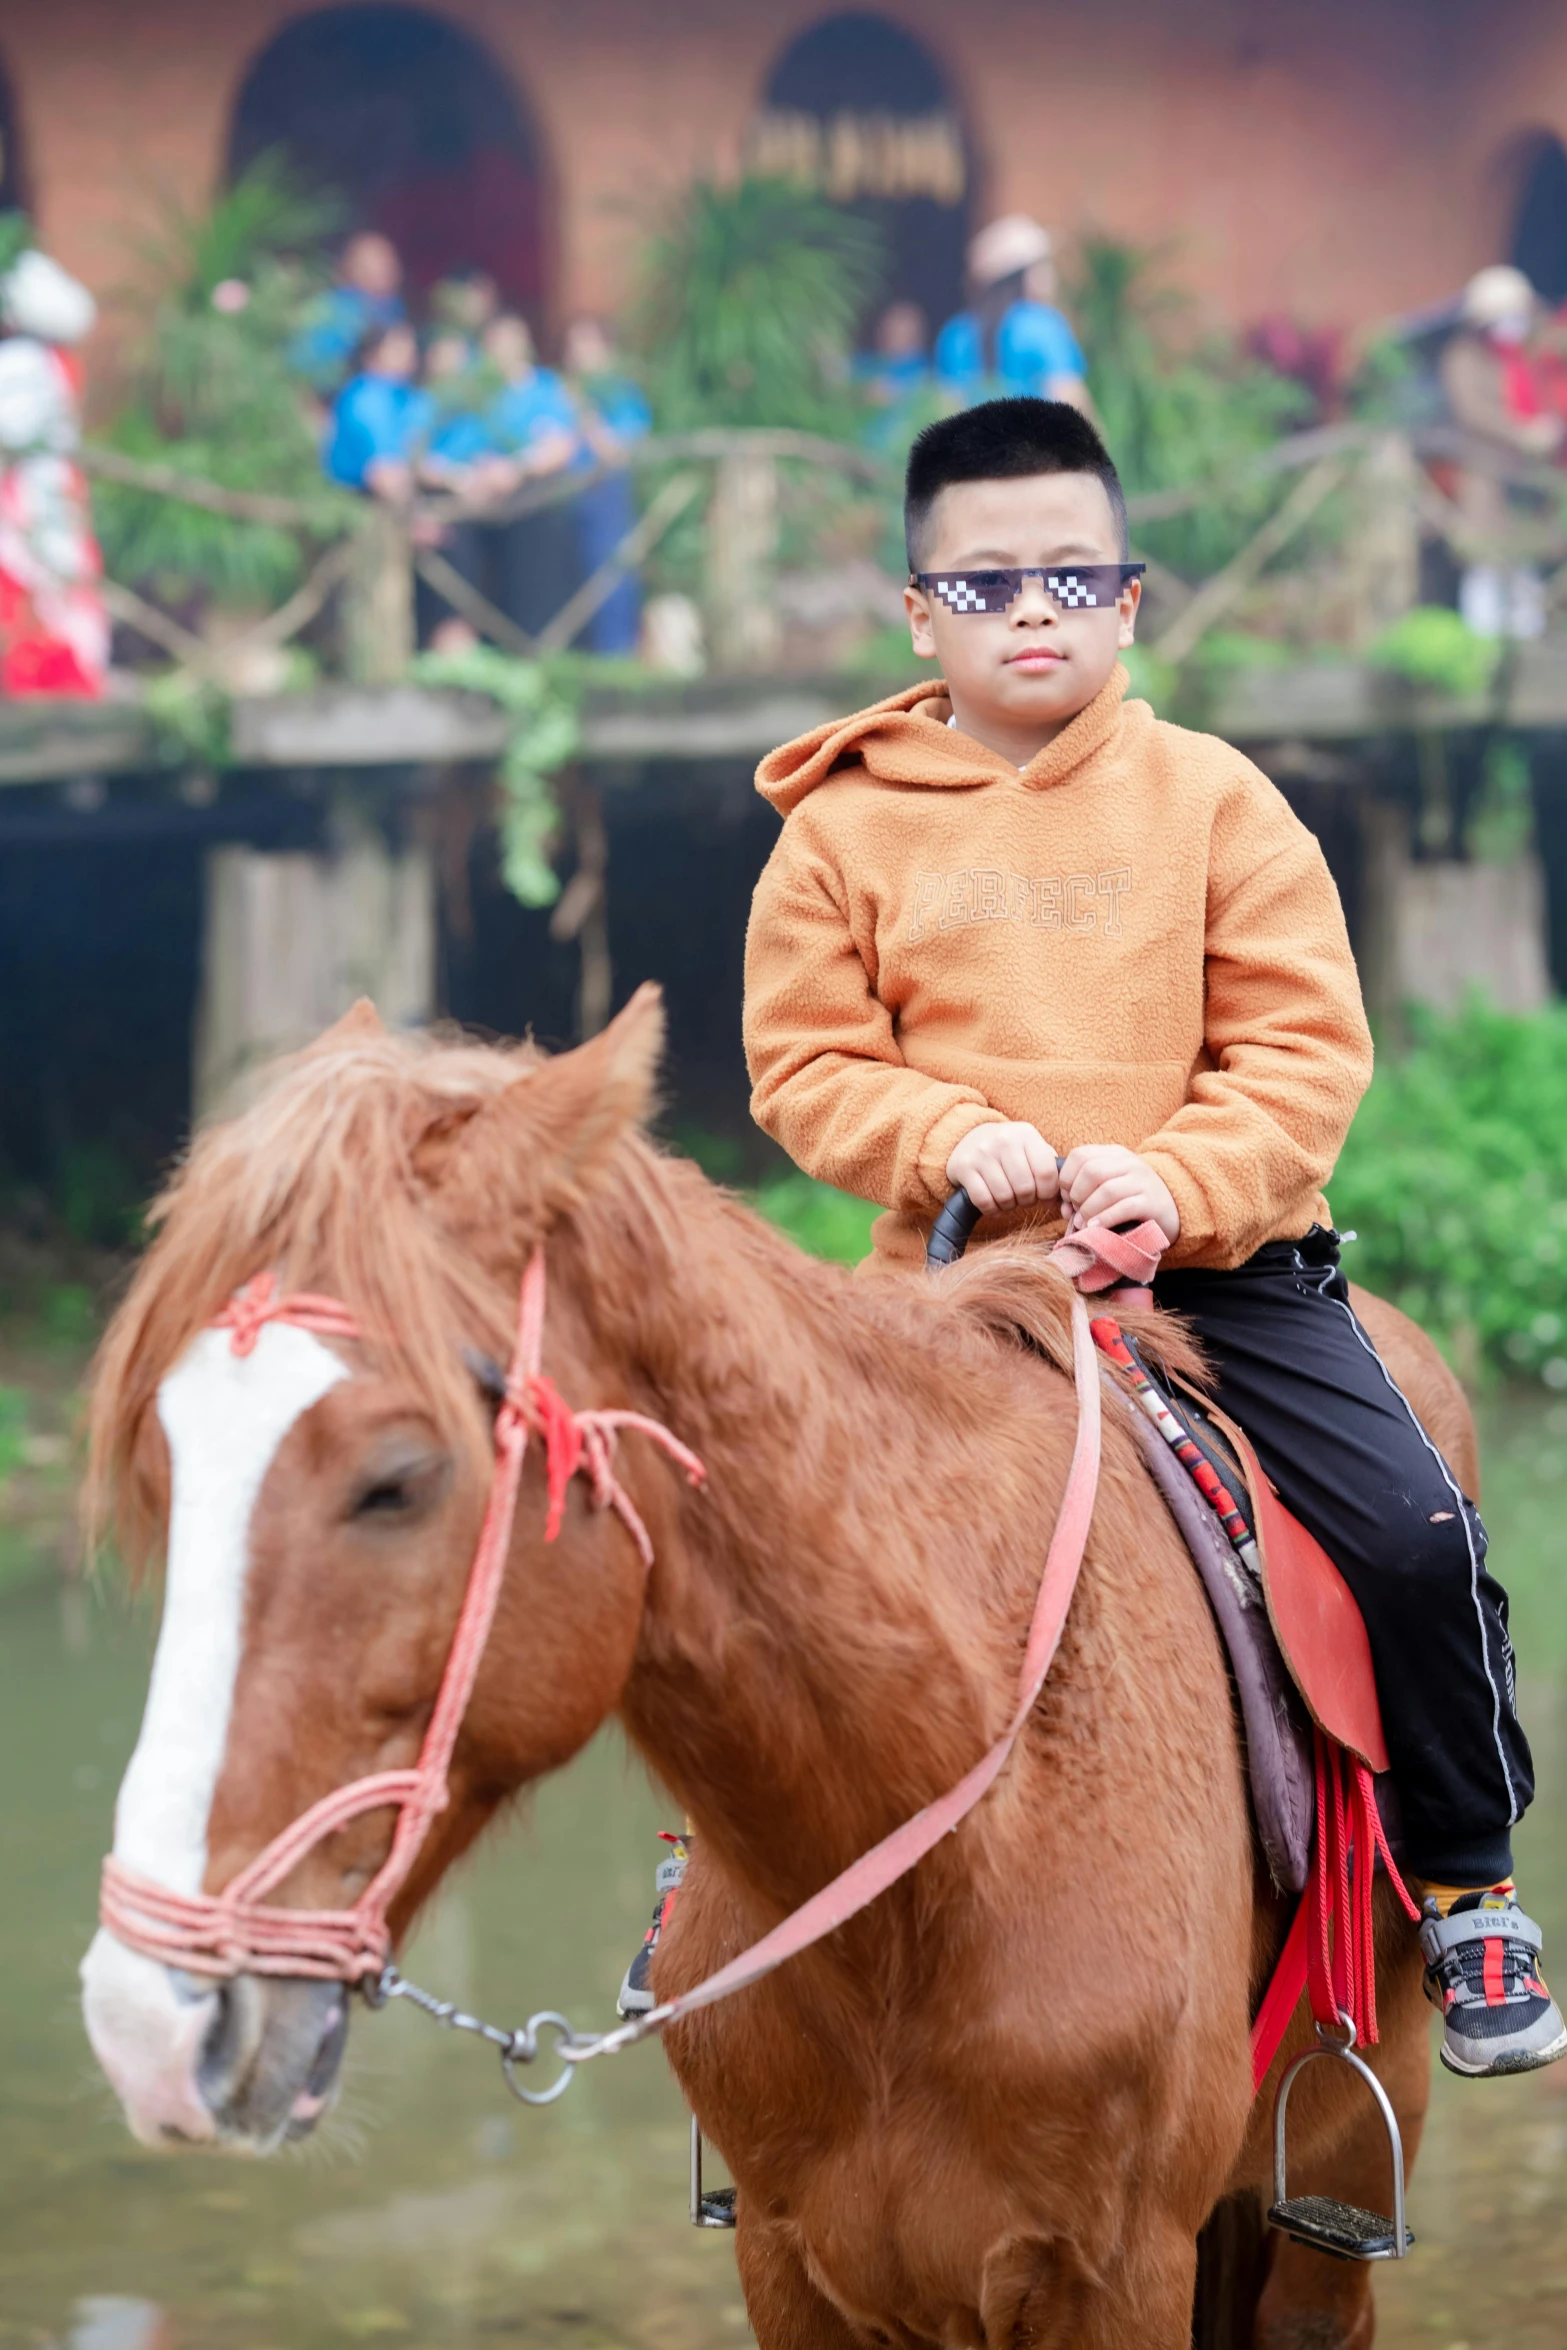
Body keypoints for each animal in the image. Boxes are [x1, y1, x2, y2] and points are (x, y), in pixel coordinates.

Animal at [79, 982, 1465, 2340]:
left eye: (397, 1480)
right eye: (168, 1462)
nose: (147, 2024)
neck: (950, 1847)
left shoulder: (1116, 2272)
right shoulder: (791, 2261)